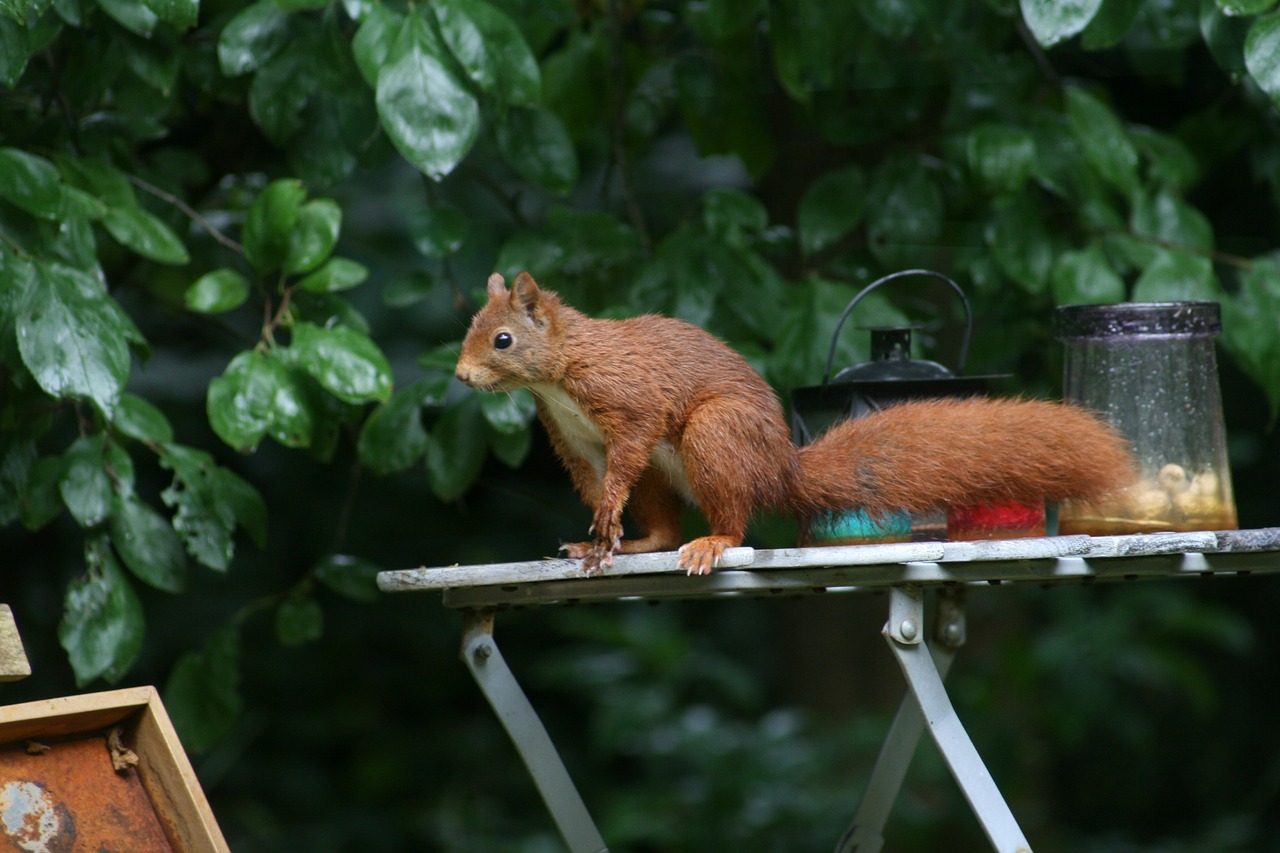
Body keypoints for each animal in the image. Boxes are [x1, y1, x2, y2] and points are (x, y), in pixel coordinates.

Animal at [455, 272, 1136, 573]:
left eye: (503, 339)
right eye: (469, 329)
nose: (461, 376)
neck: (561, 371)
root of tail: (780, 470)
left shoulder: (629, 400)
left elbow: (624, 455)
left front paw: (605, 522)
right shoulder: (572, 435)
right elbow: (596, 478)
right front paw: (599, 538)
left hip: (716, 435)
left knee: (734, 522)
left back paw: (713, 541)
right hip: (668, 470)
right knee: (666, 524)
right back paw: (646, 541)